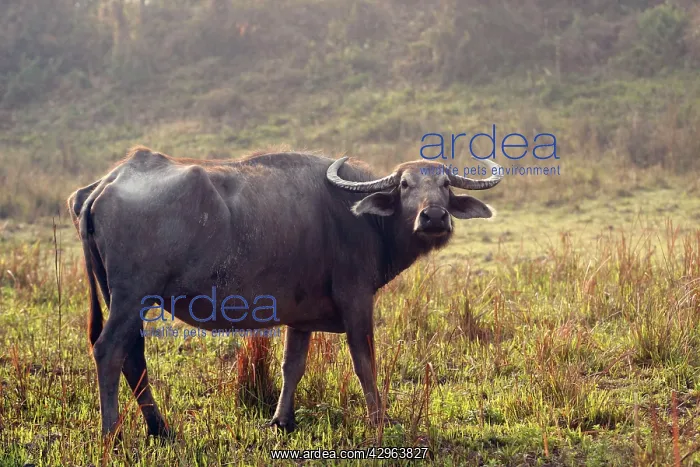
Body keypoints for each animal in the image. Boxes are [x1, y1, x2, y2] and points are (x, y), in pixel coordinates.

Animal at [68, 147, 502, 438]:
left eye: (444, 184)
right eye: (407, 185)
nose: (433, 217)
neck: (359, 218)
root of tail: (108, 182)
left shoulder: (301, 316)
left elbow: (292, 365)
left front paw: (282, 419)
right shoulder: (357, 299)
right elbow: (365, 363)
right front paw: (378, 419)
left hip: (124, 298)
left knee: (132, 355)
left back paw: (161, 428)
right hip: (132, 297)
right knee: (109, 350)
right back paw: (112, 432)